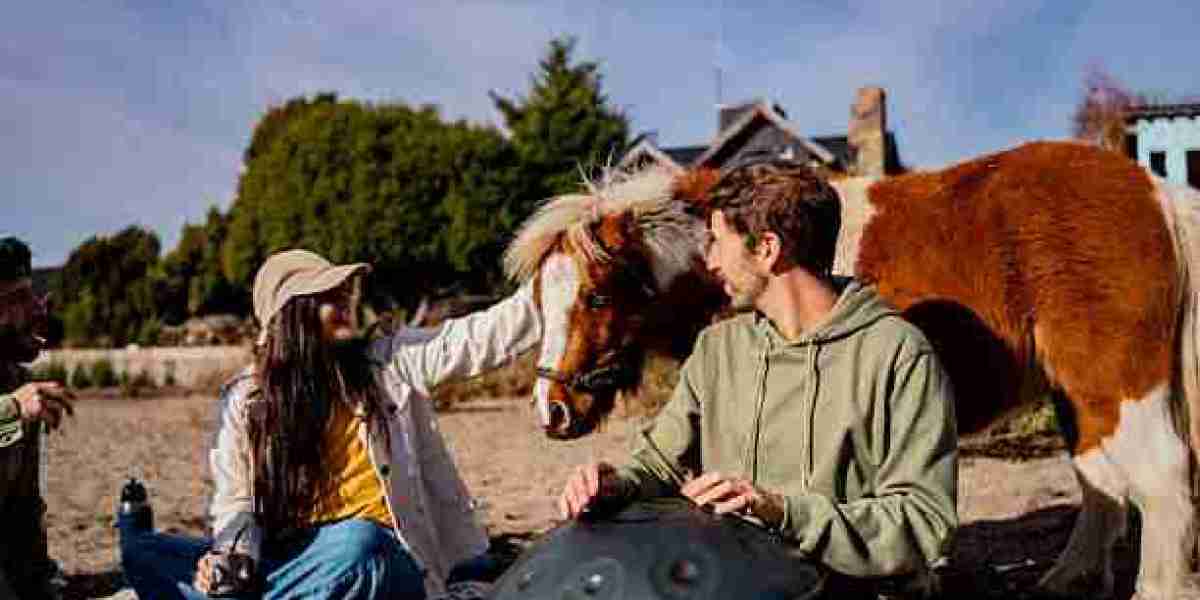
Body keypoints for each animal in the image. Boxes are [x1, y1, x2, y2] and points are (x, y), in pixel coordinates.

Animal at [502, 141, 1200, 599]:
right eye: (538, 298)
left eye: (597, 297)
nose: (551, 412)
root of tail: (1155, 192)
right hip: (1076, 393)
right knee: (1101, 483)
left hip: (1115, 383)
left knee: (1161, 481)